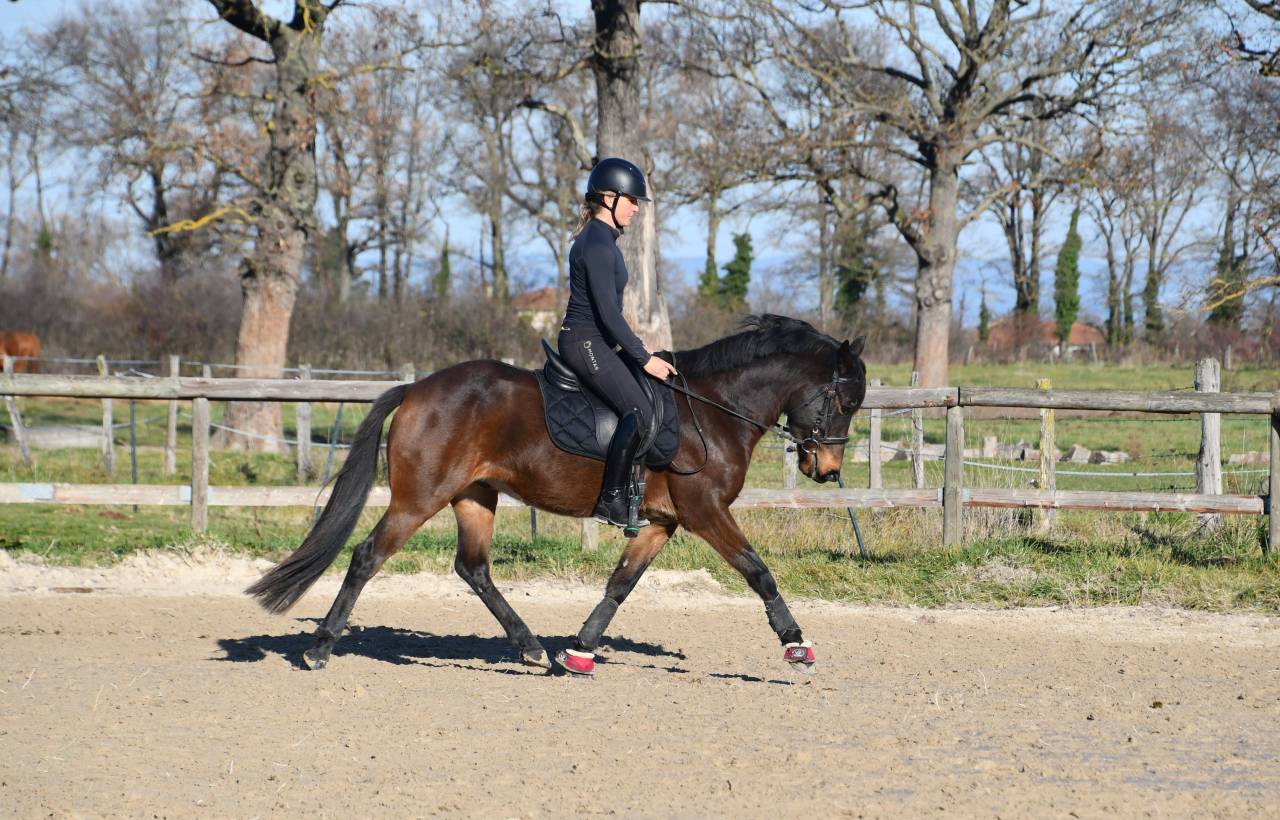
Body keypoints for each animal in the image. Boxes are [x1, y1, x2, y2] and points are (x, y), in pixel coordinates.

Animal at [247, 314, 867, 675]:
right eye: (843, 401)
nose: (827, 468)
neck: (712, 410)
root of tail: (418, 388)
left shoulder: (661, 522)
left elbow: (620, 584)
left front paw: (579, 651)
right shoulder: (705, 511)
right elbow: (758, 571)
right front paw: (796, 646)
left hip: (475, 496)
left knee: (473, 568)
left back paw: (530, 647)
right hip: (418, 498)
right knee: (368, 556)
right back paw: (320, 649)